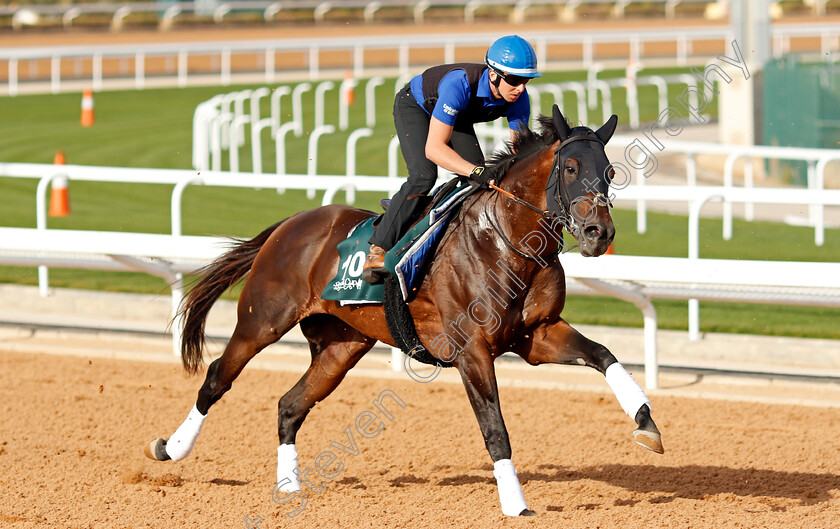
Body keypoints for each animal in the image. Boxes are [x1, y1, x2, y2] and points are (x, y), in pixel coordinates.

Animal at [144, 106, 664, 516]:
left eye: (610, 172)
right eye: (571, 167)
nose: (599, 233)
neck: (508, 242)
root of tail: (290, 223)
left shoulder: (535, 335)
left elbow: (603, 355)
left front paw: (647, 424)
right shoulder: (471, 349)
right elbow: (494, 427)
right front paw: (516, 503)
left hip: (341, 345)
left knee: (290, 405)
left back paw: (289, 485)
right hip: (263, 320)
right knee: (218, 377)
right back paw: (171, 448)